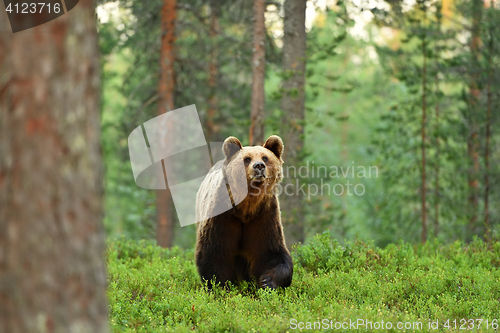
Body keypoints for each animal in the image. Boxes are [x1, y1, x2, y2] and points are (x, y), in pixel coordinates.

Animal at [195, 134, 292, 288]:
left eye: (265, 157)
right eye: (247, 159)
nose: (259, 166)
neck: (246, 208)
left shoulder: (264, 215)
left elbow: (271, 251)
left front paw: (268, 281)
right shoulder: (222, 215)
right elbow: (214, 253)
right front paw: (221, 285)